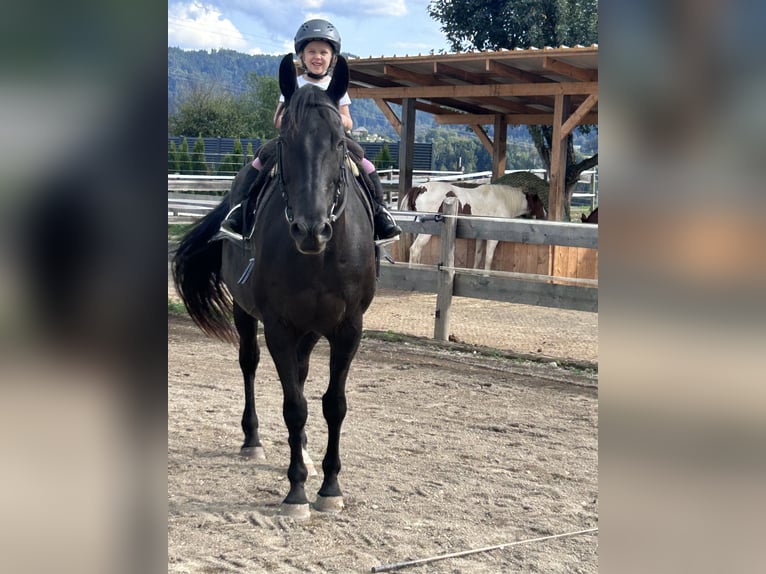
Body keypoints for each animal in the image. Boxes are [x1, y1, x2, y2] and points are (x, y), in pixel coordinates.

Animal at [172, 54, 376, 520]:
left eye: (340, 142)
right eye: (286, 141)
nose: (310, 229)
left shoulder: (347, 329)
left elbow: (333, 404)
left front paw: (330, 486)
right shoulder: (279, 327)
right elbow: (294, 405)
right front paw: (297, 490)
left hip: (312, 329)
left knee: (300, 374)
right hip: (245, 313)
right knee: (250, 364)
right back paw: (253, 440)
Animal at [403, 182, 547, 271]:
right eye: (540, 204)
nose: (545, 215)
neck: (503, 201)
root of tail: (420, 188)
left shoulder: (480, 236)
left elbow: (478, 256)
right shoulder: (492, 239)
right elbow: (488, 258)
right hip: (425, 233)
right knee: (415, 249)